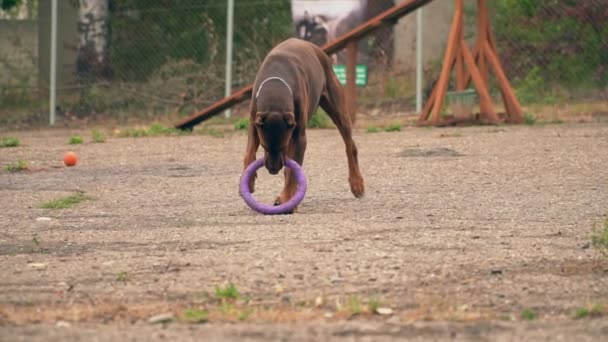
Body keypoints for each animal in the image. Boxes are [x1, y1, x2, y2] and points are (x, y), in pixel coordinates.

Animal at [242, 38, 366, 211]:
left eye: (280, 147)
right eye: (265, 147)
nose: (273, 170)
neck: (276, 91)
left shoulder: (298, 137)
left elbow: (292, 172)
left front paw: (286, 198)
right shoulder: (255, 123)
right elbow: (248, 154)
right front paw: (249, 181)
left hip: (337, 108)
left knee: (350, 145)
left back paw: (356, 182)